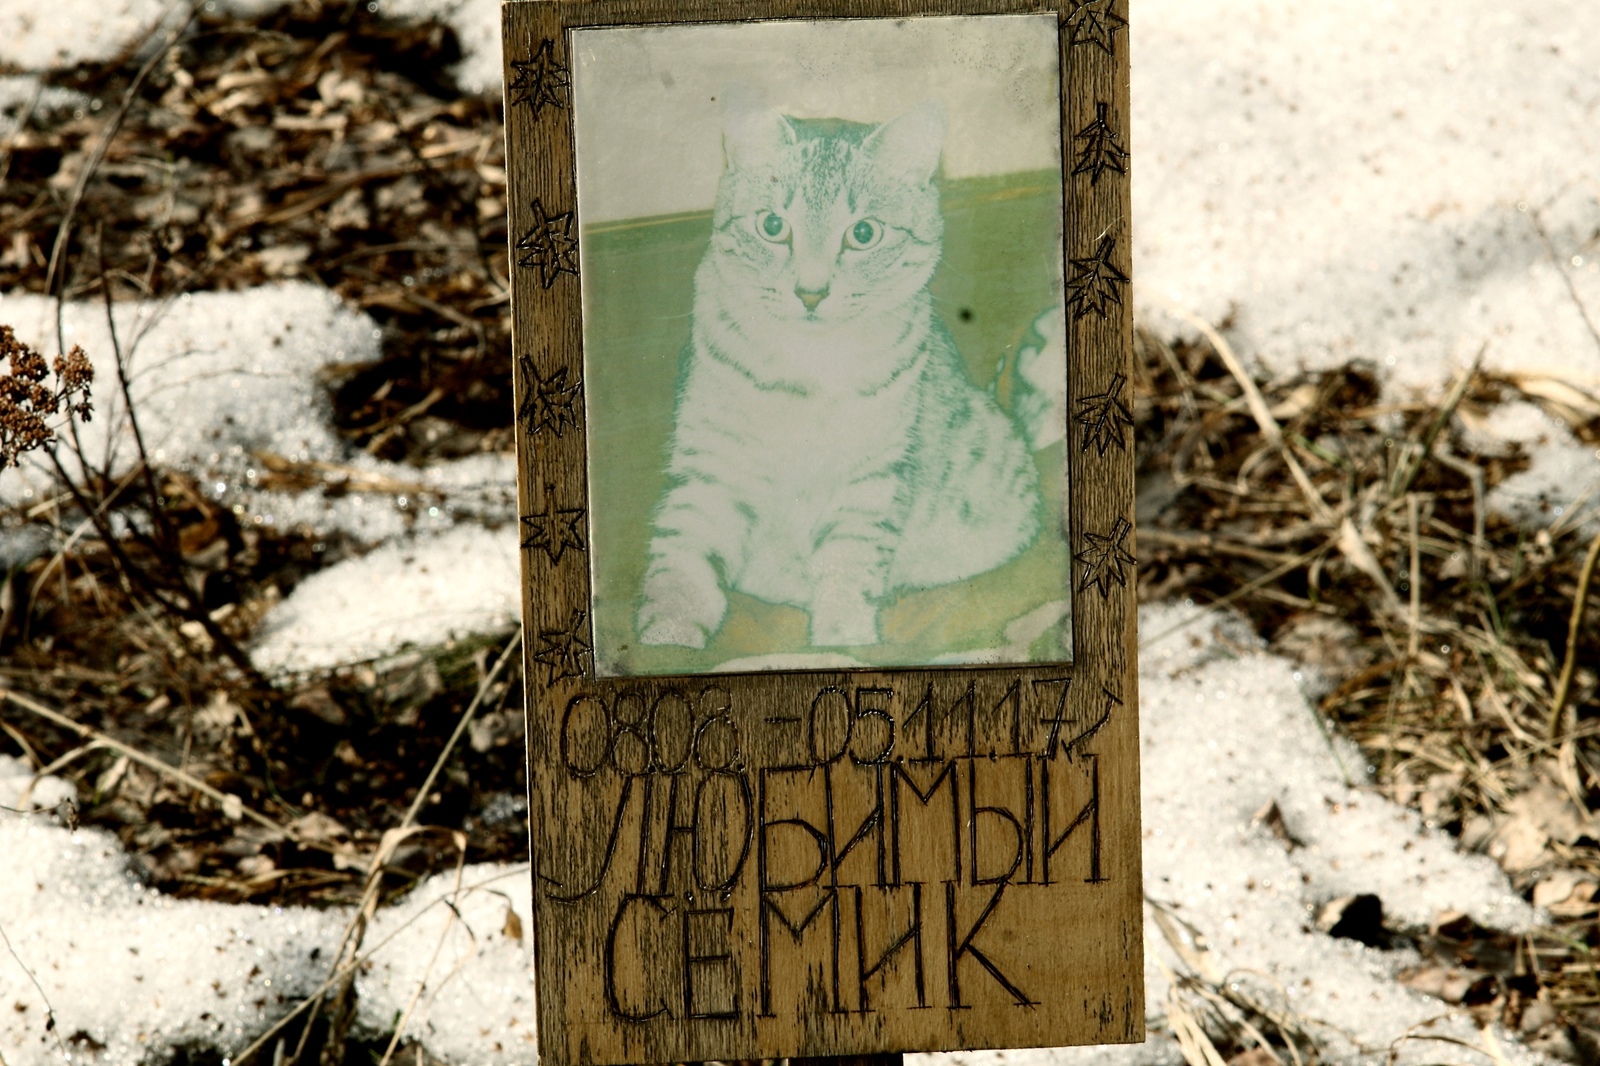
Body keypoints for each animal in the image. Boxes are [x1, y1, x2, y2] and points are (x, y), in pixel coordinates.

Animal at [636, 95, 1049, 646]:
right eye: (772, 226)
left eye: (864, 234)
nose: (811, 293)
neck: (811, 366)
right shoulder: (712, 459)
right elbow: (682, 553)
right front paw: (668, 636)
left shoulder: (872, 475)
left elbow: (848, 563)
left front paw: (844, 637)